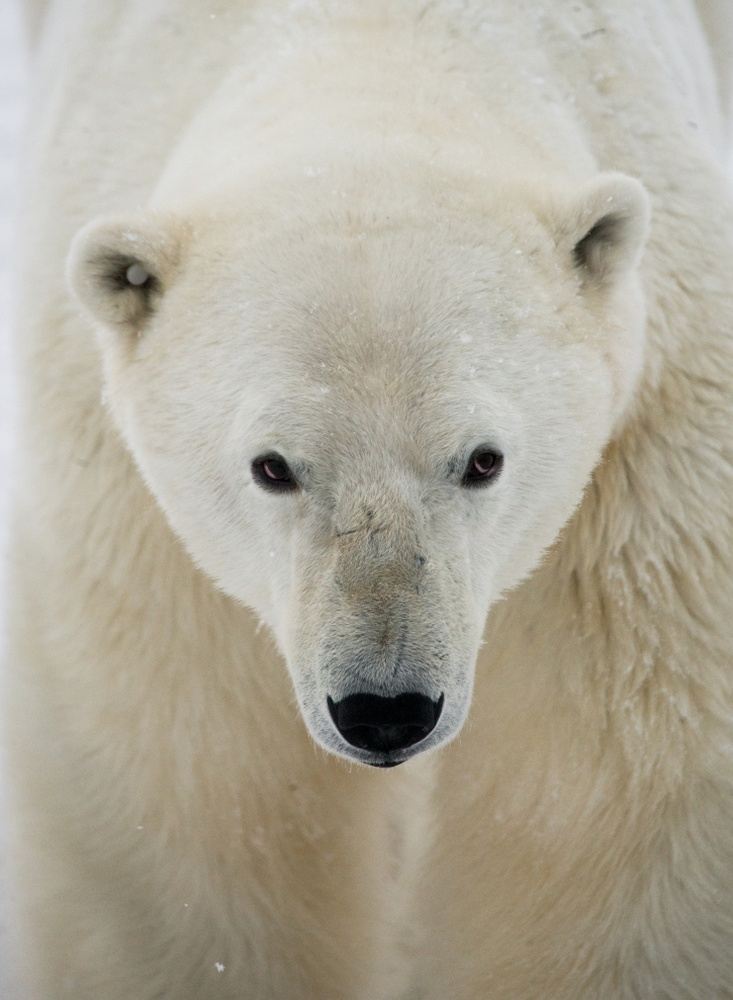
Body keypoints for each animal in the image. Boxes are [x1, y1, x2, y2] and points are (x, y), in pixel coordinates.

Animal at [4, 0, 732, 996]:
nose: (385, 708)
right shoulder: (123, 502)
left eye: (482, 460)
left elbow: (612, 797)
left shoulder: (651, 452)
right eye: (272, 466)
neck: (374, 37)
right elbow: (186, 789)